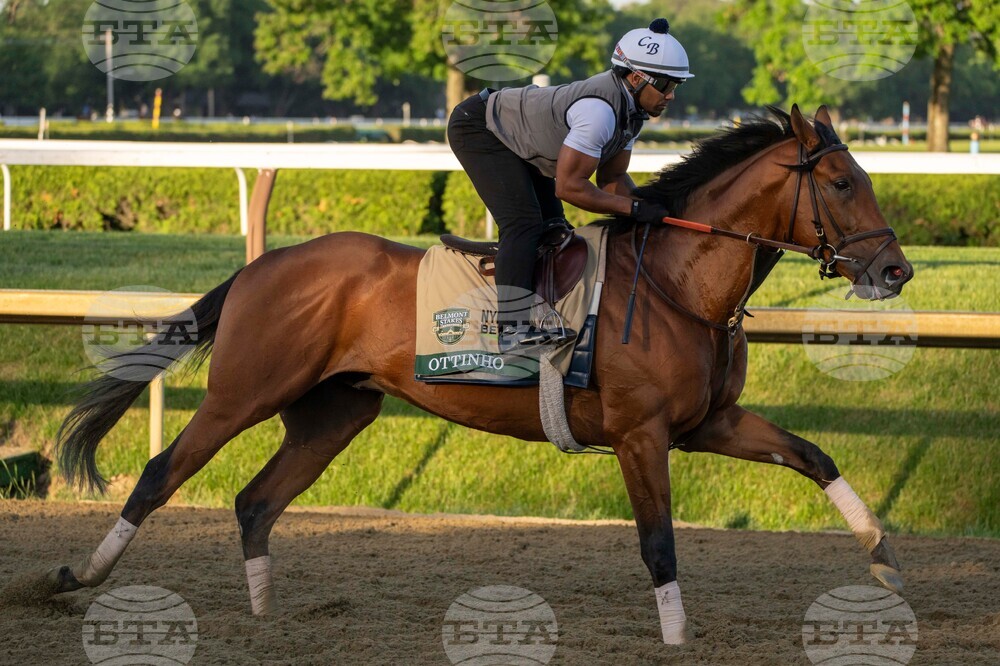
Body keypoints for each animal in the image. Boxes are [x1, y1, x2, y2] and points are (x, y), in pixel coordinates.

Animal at [39, 104, 912, 645]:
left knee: (256, 502)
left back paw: (263, 616)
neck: (677, 282)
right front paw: (675, 636)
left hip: (335, 413)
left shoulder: (707, 425)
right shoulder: (641, 434)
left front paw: (884, 561)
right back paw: (72, 577)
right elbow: (659, 542)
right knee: (160, 475)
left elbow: (816, 458)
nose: (896, 269)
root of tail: (265, 264)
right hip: (243, 393)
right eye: (842, 183)